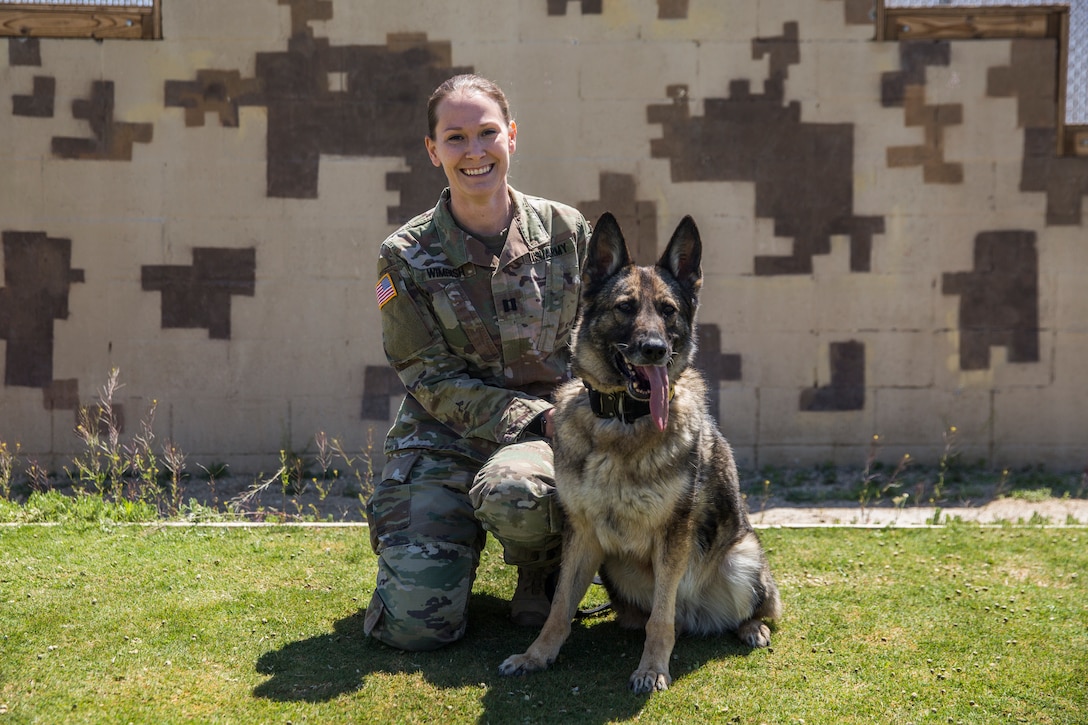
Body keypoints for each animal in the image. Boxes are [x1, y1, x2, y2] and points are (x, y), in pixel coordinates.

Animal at [500, 212, 783, 692]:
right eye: (626, 307)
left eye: (668, 311)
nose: (655, 350)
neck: (623, 421)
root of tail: (698, 615)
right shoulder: (582, 534)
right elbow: (559, 609)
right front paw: (537, 655)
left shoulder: (673, 537)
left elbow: (661, 621)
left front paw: (651, 670)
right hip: (614, 568)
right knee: (651, 616)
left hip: (743, 558)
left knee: (748, 609)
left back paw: (751, 628)